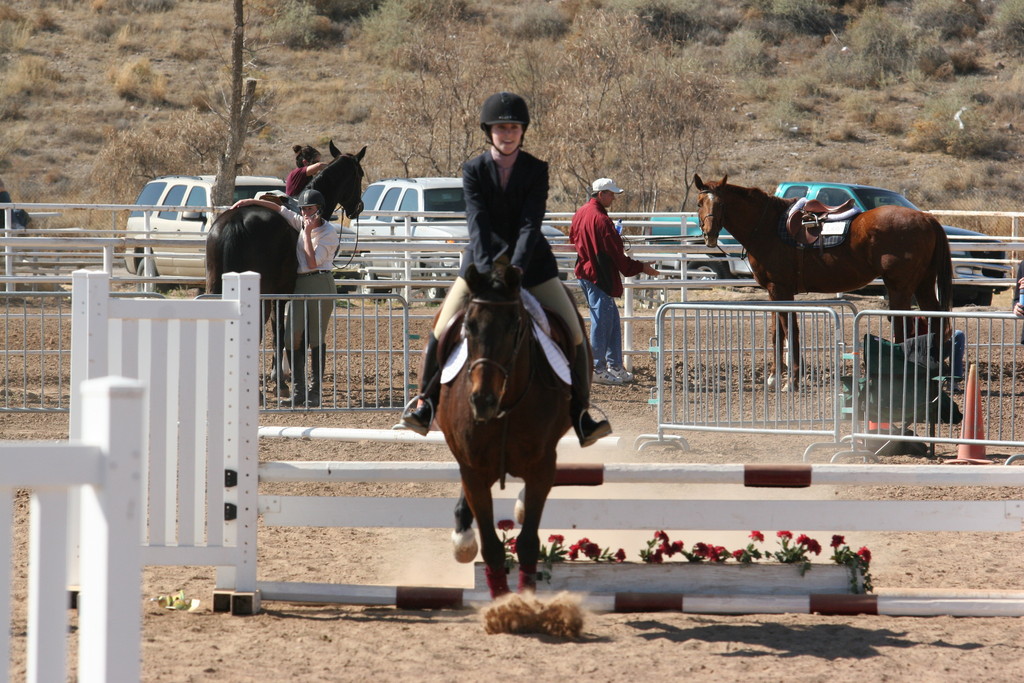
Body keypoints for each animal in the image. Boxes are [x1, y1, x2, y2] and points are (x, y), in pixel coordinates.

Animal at [202, 141, 364, 393]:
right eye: (360, 175)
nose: (359, 207)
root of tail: (236, 223)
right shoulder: (282, 295)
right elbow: (281, 331)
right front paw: (280, 380)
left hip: (215, 288)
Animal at [434, 264, 573, 598]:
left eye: (514, 328)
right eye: (468, 326)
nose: (482, 401)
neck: (505, 405)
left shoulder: (542, 466)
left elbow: (528, 542)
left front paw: (525, 598)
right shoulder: (473, 468)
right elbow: (493, 547)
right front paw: (501, 600)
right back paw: (462, 533)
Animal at [692, 174, 954, 389]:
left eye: (721, 203)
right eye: (699, 203)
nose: (709, 234)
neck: (767, 226)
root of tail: (926, 218)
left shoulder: (781, 289)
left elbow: (790, 329)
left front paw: (792, 380)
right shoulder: (772, 291)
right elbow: (777, 332)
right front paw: (774, 377)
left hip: (900, 287)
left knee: (904, 325)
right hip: (923, 284)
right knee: (936, 319)